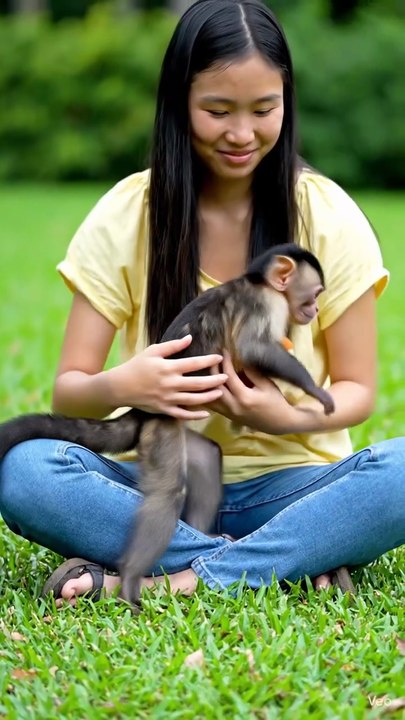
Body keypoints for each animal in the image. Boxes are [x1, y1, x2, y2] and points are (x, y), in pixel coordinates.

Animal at [0, 243, 334, 608]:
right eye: (314, 294)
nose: (315, 308)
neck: (260, 283)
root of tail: (141, 411)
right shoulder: (263, 303)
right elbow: (253, 349)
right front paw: (315, 391)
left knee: (206, 458)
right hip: (160, 429)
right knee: (167, 493)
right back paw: (131, 578)